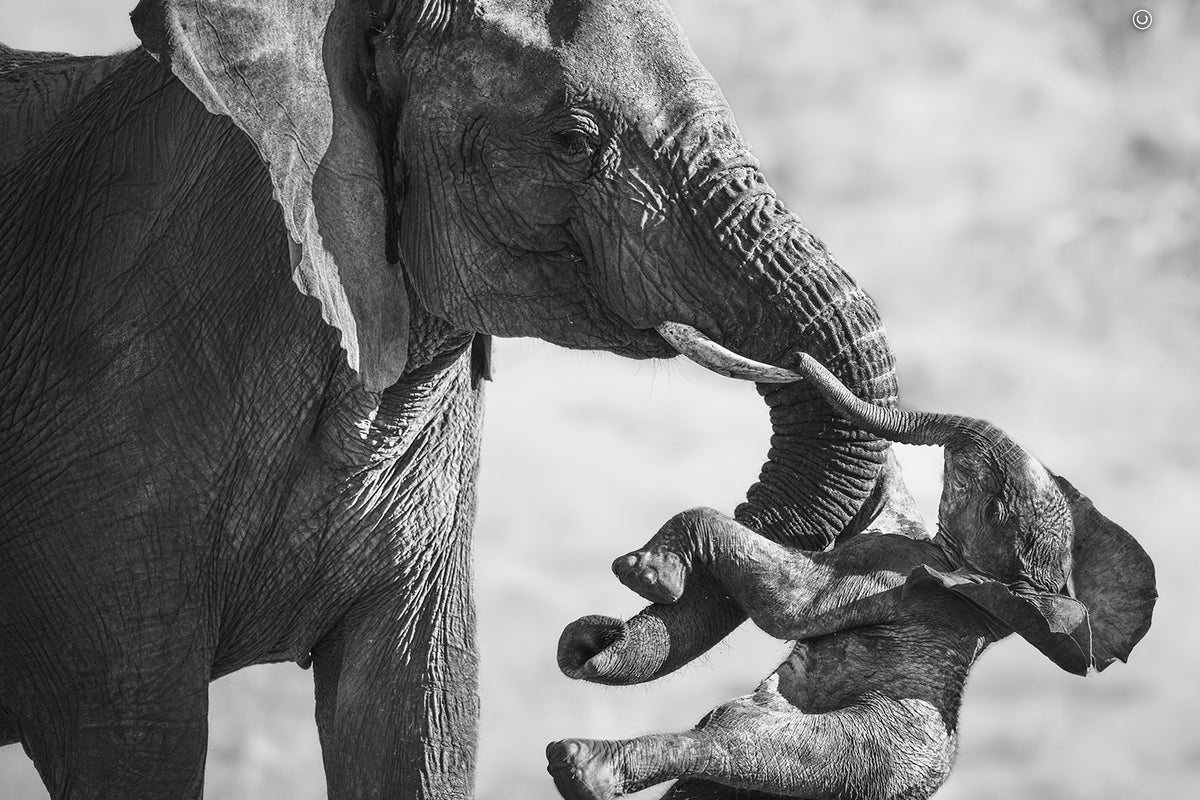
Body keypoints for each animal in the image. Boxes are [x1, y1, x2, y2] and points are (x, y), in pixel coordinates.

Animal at [549, 354, 1156, 800]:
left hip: (860, 752)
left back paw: (579, 765)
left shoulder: (896, 577)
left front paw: (646, 576)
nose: (795, 357)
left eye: (995, 504)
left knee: (737, 738)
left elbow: (790, 605)